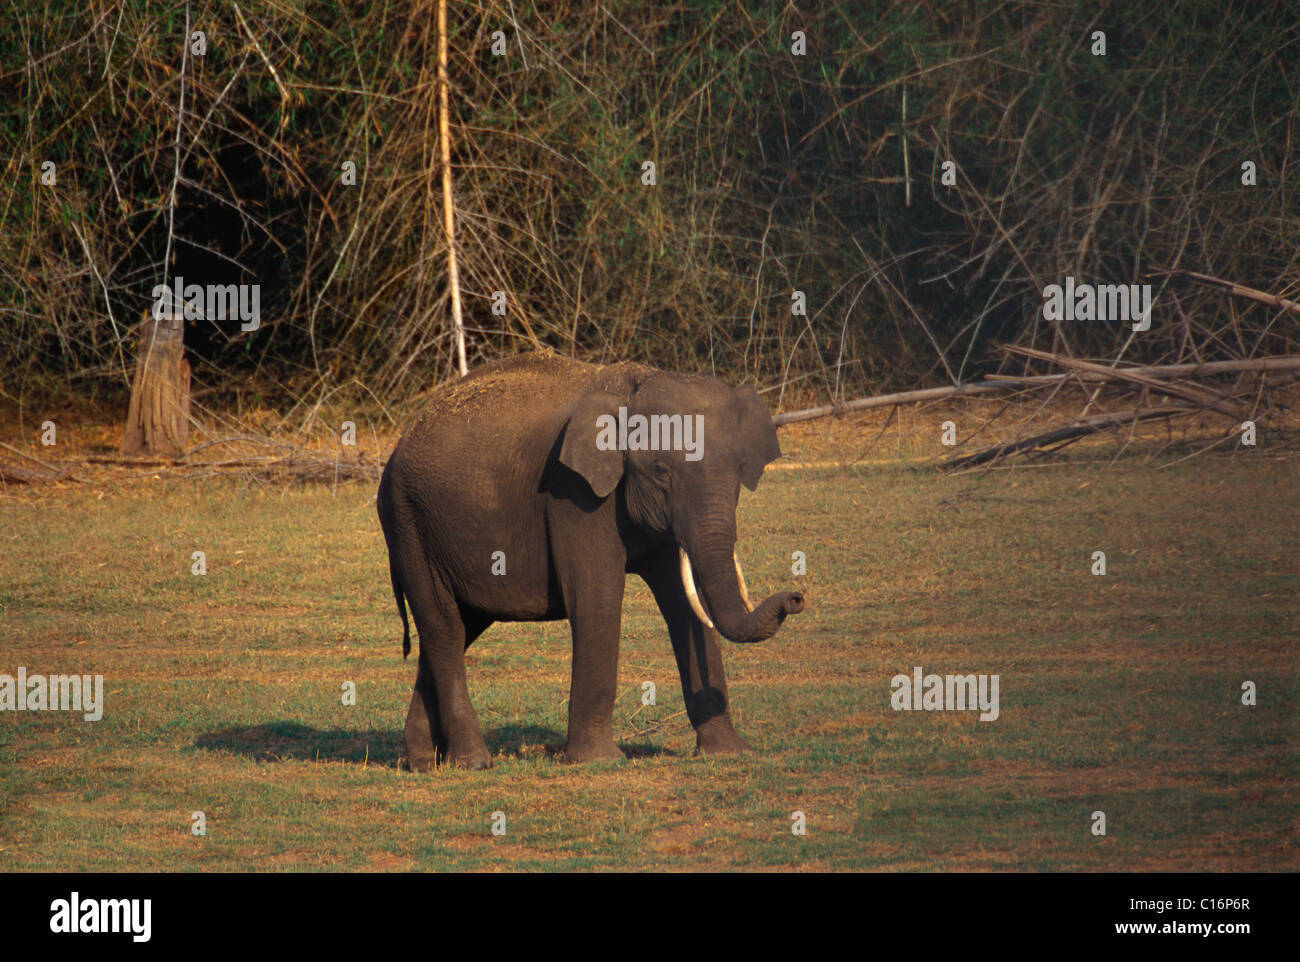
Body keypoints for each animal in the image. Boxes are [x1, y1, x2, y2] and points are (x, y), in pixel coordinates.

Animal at [377, 348, 800, 769]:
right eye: (660, 471)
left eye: (739, 469)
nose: (795, 598)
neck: (635, 385)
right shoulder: (572, 492)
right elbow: (598, 597)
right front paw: (598, 761)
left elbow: (685, 605)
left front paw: (730, 752)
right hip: (408, 523)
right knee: (444, 628)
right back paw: (472, 763)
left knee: (458, 627)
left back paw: (422, 761)